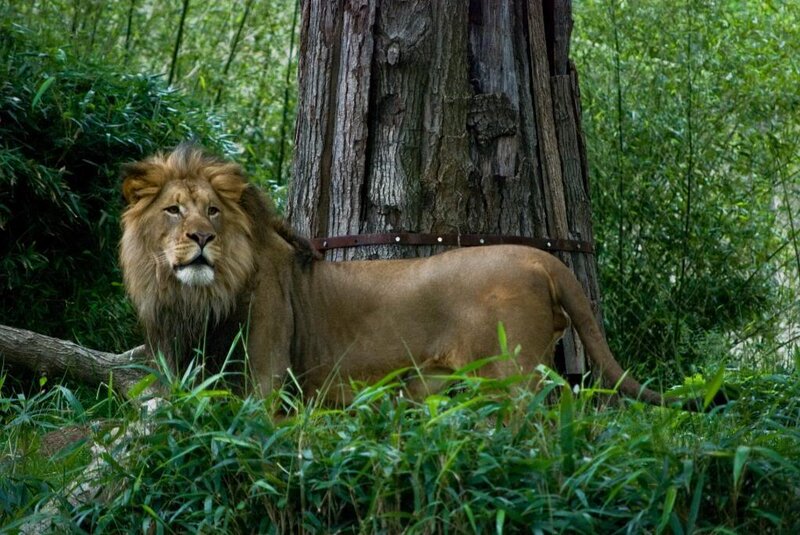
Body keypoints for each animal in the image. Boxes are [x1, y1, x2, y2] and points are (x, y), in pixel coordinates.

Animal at [120, 145, 675, 407]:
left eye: (213, 211)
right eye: (173, 210)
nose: (201, 238)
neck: (199, 299)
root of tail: (543, 258)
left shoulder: (269, 384)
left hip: (512, 373)